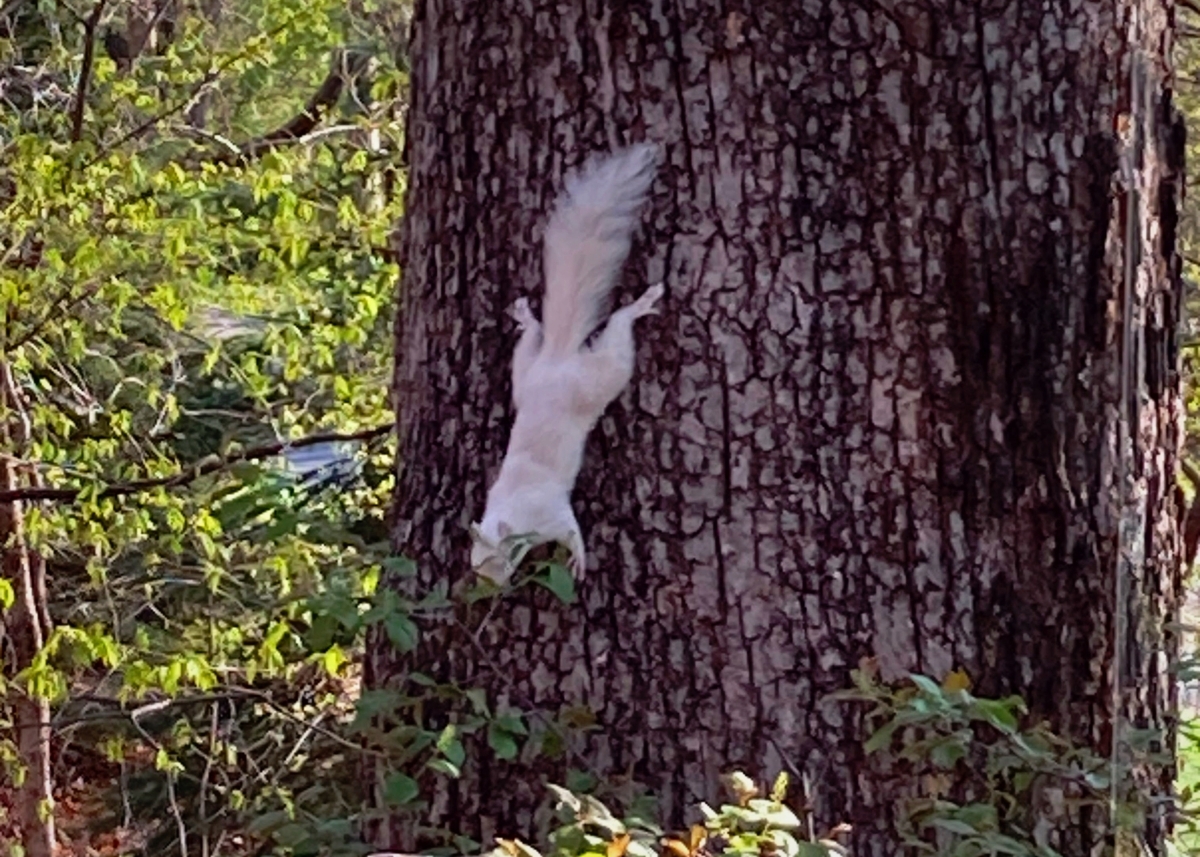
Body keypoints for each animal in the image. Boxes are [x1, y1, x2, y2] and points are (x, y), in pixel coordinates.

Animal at [470, 144, 664, 585]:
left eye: (502, 558)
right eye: (476, 564)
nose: (494, 587)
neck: (514, 509)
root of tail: (557, 361)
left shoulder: (550, 514)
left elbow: (571, 531)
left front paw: (578, 559)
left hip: (600, 377)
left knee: (619, 332)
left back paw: (640, 305)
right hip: (524, 375)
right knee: (530, 345)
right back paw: (527, 318)